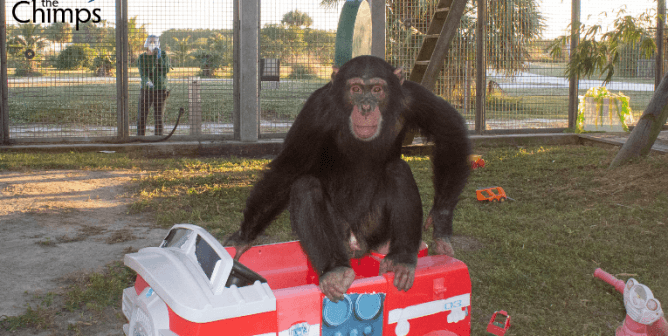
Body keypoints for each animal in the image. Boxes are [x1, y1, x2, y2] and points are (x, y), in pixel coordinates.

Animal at [227, 55, 472, 302]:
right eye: (355, 89)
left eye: (377, 89)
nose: (365, 106)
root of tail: (358, 246)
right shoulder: (316, 109)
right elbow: (289, 169)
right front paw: (242, 239)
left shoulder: (413, 97)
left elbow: (448, 132)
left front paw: (441, 220)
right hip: (342, 236)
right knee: (305, 186)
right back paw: (335, 271)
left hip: (375, 229)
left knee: (397, 169)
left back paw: (400, 259)